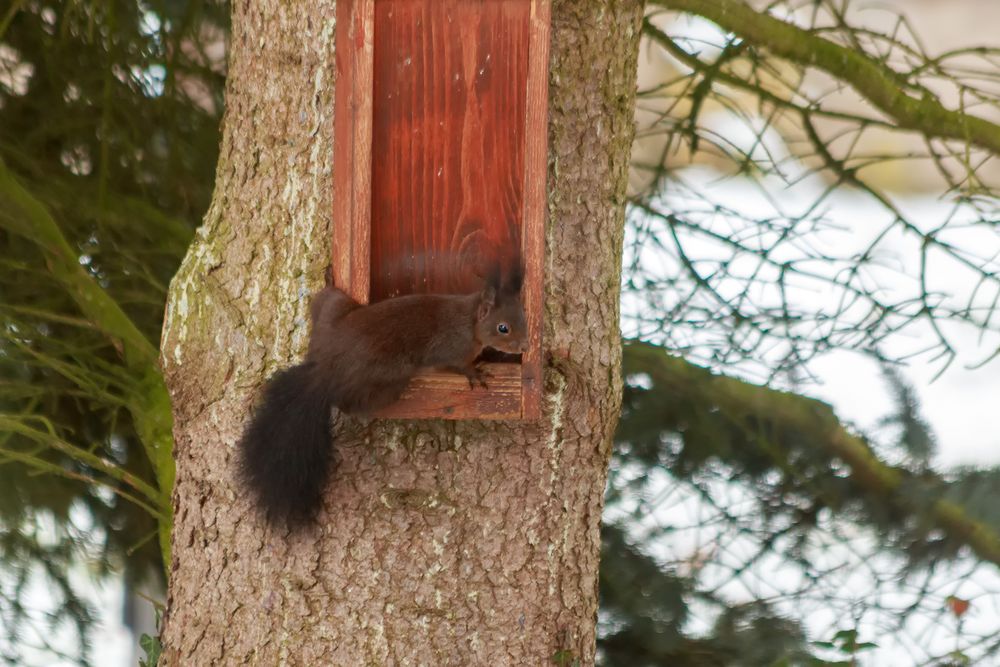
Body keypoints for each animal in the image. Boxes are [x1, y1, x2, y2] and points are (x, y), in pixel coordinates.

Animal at [237, 264, 528, 528]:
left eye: (524, 317)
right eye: (503, 328)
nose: (526, 346)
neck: (470, 320)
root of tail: (325, 370)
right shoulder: (451, 348)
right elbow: (457, 365)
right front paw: (475, 373)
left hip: (334, 309)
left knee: (326, 302)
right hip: (389, 380)